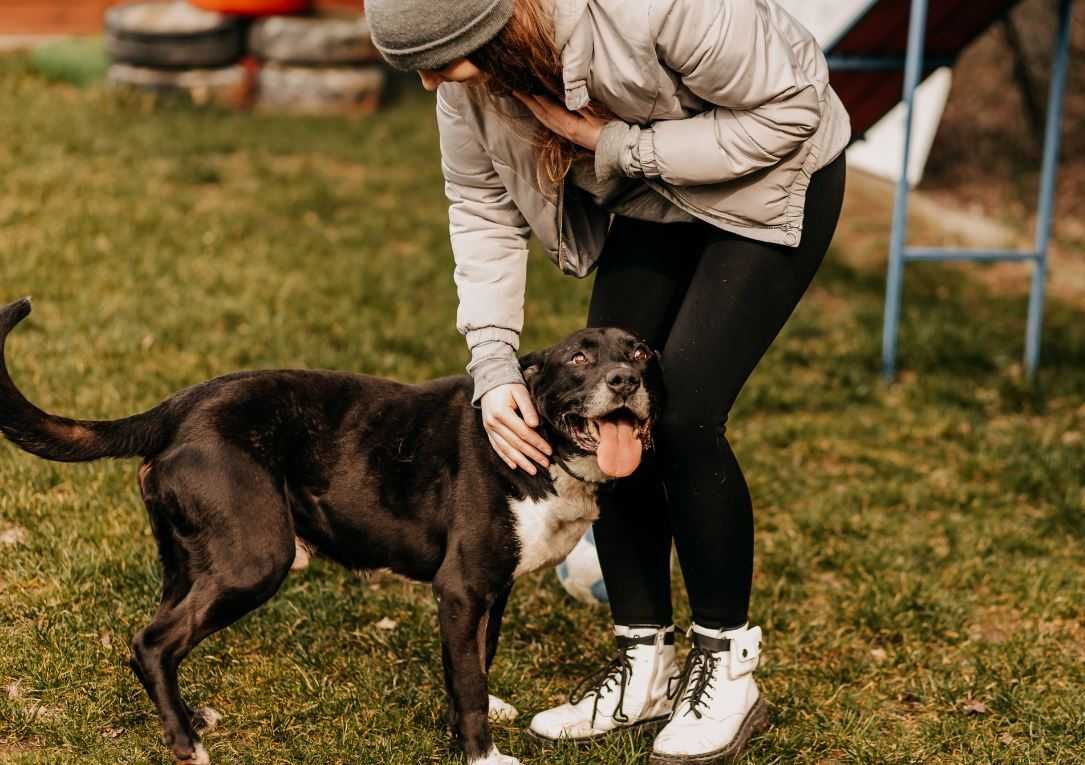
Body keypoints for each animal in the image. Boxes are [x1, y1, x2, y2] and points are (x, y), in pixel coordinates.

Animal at [0, 299, 659, 763]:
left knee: (160, 635)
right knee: (152, 643)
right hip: (254, 559)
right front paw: (483, 756)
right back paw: (187, 746)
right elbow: (468, 682)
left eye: (641, 354)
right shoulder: (462, 586)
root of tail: (179, 405)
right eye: (580, 359)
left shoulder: (491, 591)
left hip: (190, 561)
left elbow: (474, 662)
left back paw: (186, 720)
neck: (539, 439)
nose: (626, 382)